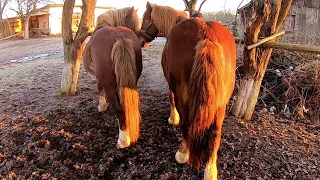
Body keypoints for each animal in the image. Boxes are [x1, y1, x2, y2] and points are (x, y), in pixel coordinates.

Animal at [141, 2, 236, 179]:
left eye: (145, 19)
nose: (141, 38)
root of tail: (207, 33)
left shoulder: (172, 85)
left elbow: (171, 99)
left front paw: (173, 118)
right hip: (221, 101)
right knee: (216, 132)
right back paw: (210, 169)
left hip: (183, 94)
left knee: (185, 124)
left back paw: (182, 153)